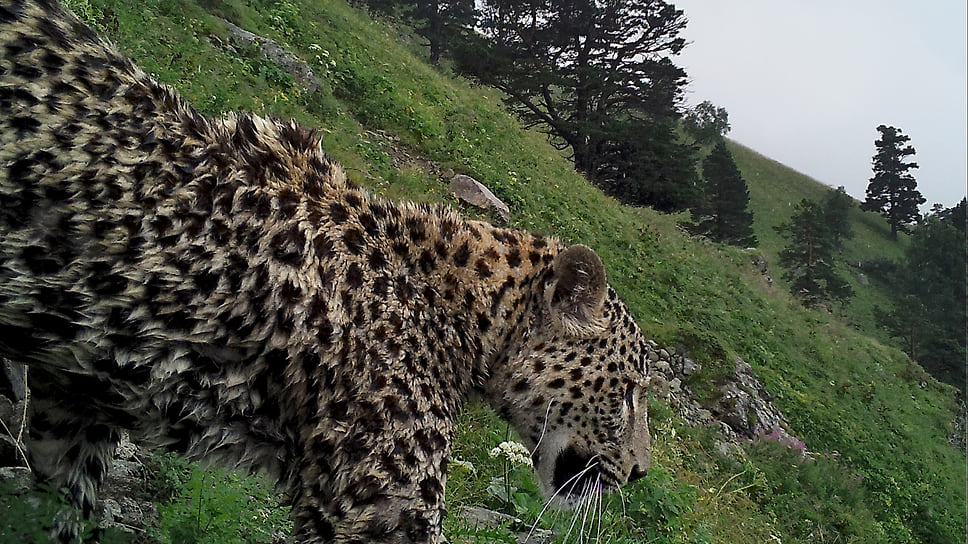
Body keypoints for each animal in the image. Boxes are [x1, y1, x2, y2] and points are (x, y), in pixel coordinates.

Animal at [0, 1, 656, 540]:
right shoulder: (380, 504)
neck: (464, 312)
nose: (640, 474)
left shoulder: (79, 396)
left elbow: (60, 505)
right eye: (627, 393)